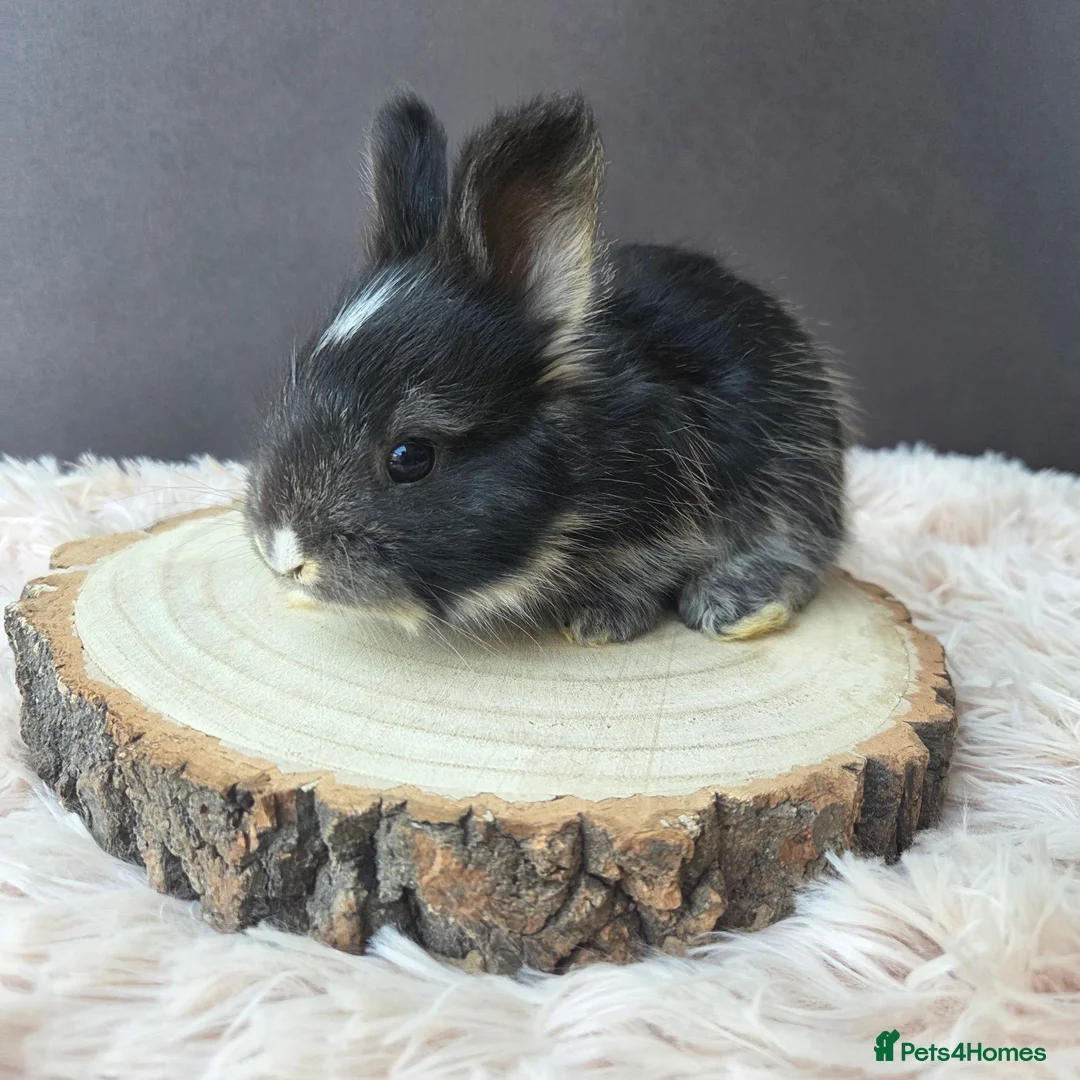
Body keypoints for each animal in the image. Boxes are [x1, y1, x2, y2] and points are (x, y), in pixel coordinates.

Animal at [244, 91, 852, 646]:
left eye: (410, 457)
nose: (283, 554)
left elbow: (649, 565)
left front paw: (598, 620)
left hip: (798, 471)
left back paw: (735, 608)